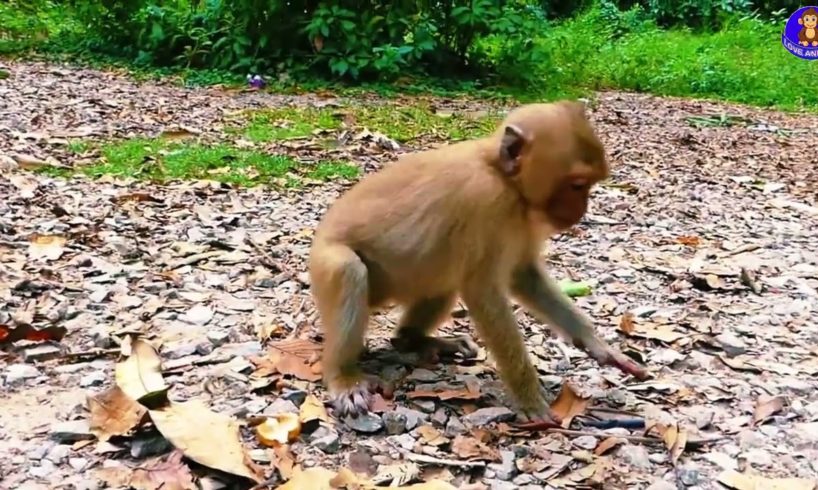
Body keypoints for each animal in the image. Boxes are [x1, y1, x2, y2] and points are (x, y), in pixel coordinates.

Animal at [310, 100, 648, 424]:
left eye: (588, 185)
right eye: (577, 184)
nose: (581, 209)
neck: (499, 172)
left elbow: (523, 275)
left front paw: (598, 345)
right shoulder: (487, 202)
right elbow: (483, 292)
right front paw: (529, 398)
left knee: (443, 276)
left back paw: (415, 340)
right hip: (326, 264)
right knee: (348, 270)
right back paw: (343, 377)